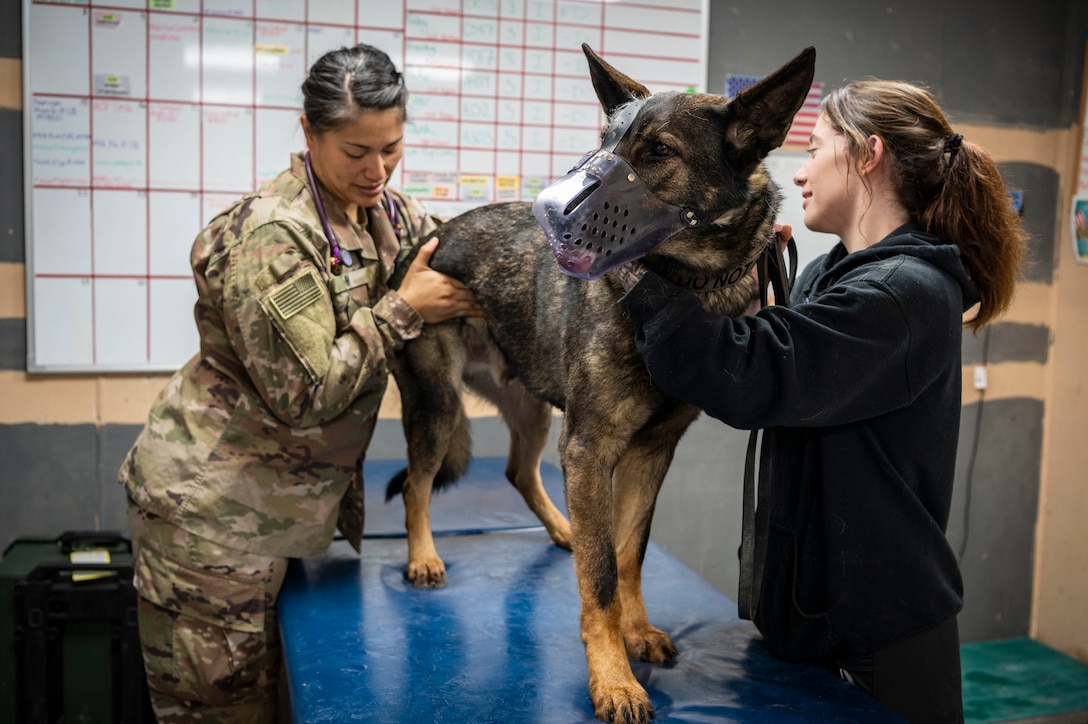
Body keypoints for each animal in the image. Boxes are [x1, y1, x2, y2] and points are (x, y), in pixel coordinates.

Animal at [387, 45, 813, 722]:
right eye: (604, 144)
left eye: (658, 151)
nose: (556, 213)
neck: (680, 289)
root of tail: (424, 240)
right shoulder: (590, 450)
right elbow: (602, 577)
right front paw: (613, 679)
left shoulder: (649, 452)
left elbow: (628, 551)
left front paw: (635, 633)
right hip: (440, 406)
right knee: (417, 485)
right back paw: (424, 556)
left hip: (534, 411)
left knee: (519, 473)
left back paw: (563, 527)